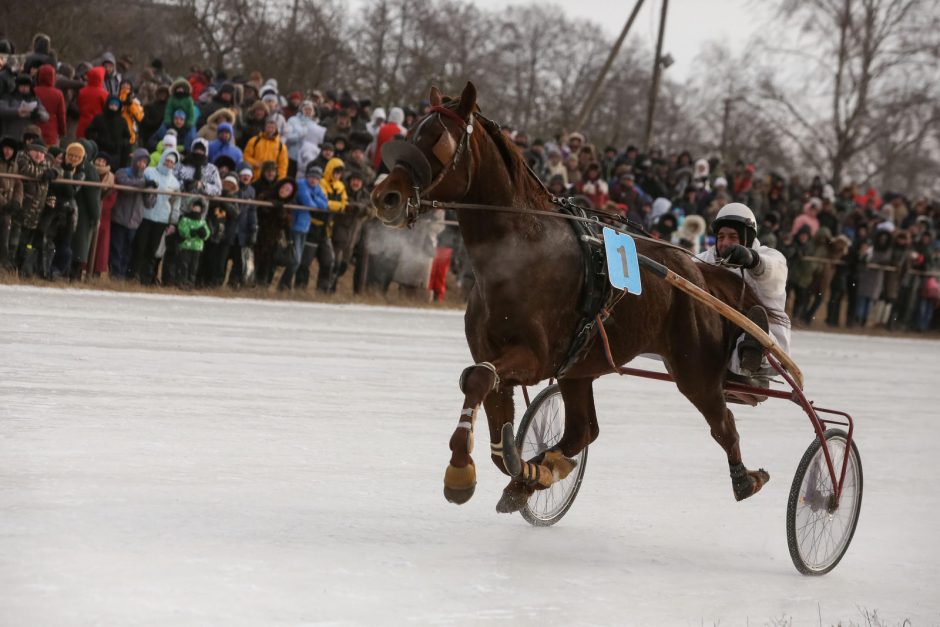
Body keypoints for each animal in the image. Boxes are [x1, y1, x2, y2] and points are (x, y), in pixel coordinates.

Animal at [370, 83, 768, 512]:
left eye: (437, 140)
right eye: (410, 135)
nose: (385, 196)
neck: (521, 253)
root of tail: (696, 271)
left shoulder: (536, 356)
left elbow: (478, 378)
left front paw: (461, 471)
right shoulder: (496, 351)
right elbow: (490, 407)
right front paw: (527, 470)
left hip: (694, 369)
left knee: (723, 424)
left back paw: (746, 478)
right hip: (581, 367)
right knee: (583, 430)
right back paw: (543, 471)